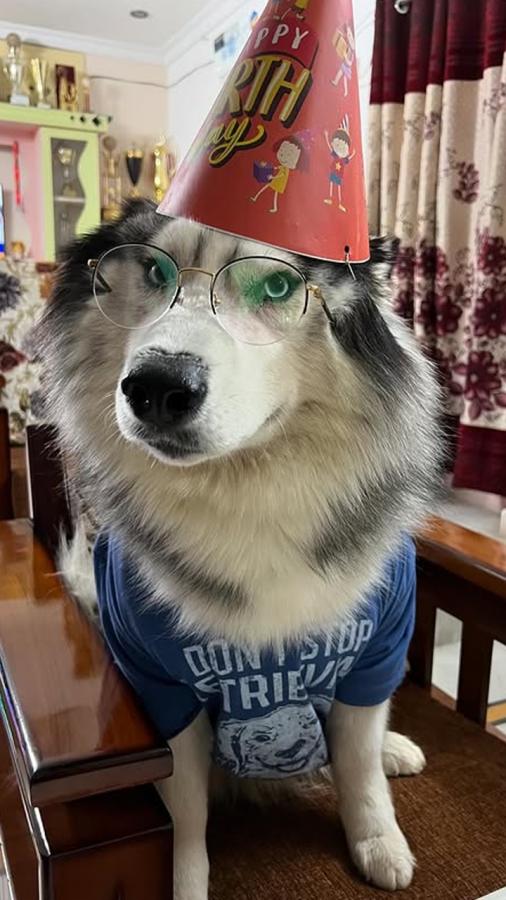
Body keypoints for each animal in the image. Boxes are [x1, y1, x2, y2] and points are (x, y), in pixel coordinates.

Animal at [39, 200, 442, 896]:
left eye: (277, 286)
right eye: (154, 270)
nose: (157, 387)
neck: (249, 494)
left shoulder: (379, 646)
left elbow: (359, 760)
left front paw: (377, 837)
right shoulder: (160, 685)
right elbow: (184, 811)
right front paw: (182, 881)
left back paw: (394, 748)